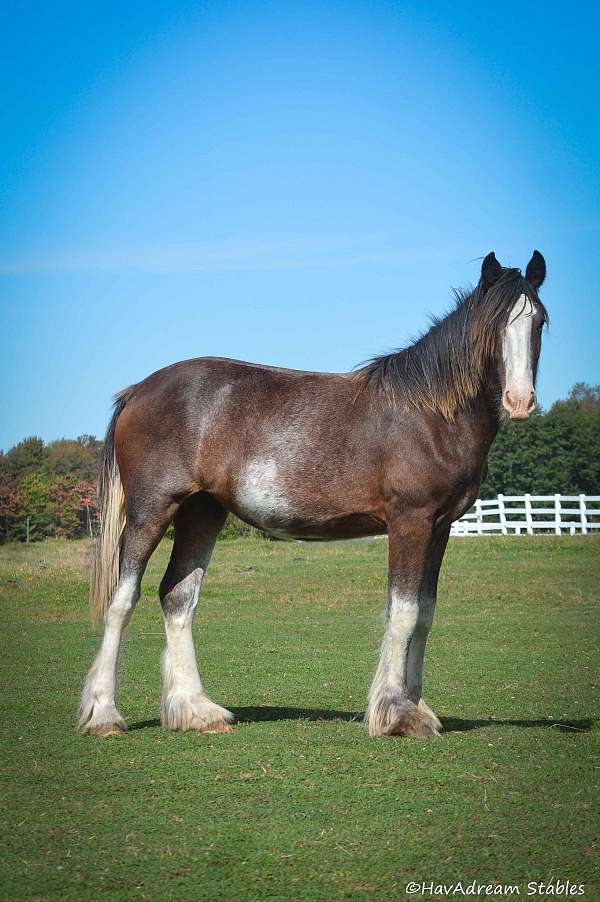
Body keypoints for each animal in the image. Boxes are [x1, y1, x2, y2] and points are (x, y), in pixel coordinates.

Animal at [79, 250, 548, 738]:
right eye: (494, 325)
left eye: (539, 321)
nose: (520, 401)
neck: (429, 413)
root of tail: (138, 391)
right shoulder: (410, 522)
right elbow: (402, 612)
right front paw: (395, 713)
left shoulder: (439, 529)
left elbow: (424, 614)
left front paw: (417, 709)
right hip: (152, 510)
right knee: (122, 599)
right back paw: (104, 714)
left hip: (201, 513)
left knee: (178, 598)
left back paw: (195, 710)